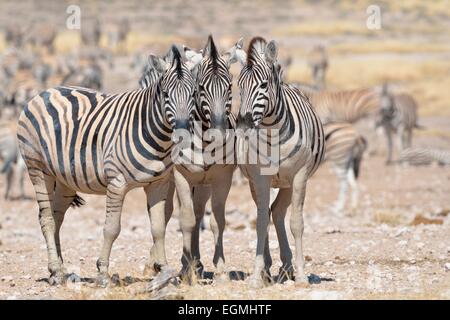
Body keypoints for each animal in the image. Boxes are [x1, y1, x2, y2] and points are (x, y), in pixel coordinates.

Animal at [17, 44, 197, 284]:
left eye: (193, 94)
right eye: (166, 94)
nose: (182, 135)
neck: (155, 135)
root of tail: (45, 91)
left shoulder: (158, 183)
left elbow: (158, 227)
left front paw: (165, 270)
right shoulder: (117, 183)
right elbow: (112, 228)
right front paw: (102, 272)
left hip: (63, 179)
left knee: (56, 217)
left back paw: (59, 269)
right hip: (37, 168)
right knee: (46, 219)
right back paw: (56, 270)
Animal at [232, 37, 324, 288]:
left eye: (264, 85)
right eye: (238, 86)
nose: (243, 126)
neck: (273, 132)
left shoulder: (300, 175)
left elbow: (296, 223)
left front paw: (301, 275)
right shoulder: (260, 178)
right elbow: (261, 222)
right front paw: (257, 274)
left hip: (288, 183)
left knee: (280, 213)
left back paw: (287, 267)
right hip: (258, 183)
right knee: (268, 212)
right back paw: (270, 269)